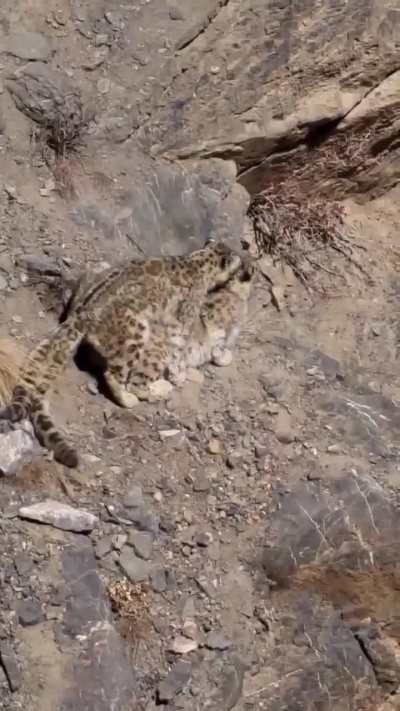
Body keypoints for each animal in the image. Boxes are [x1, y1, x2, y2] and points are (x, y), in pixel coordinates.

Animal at [0, 241, 242, 468]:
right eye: (233, 255)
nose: (240, 257)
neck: (199, 261)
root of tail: (83, 313)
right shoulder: (184, 317)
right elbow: (178, 344)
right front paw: (178, 372)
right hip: (135, 332)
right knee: (114, 373)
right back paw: (131, 398)